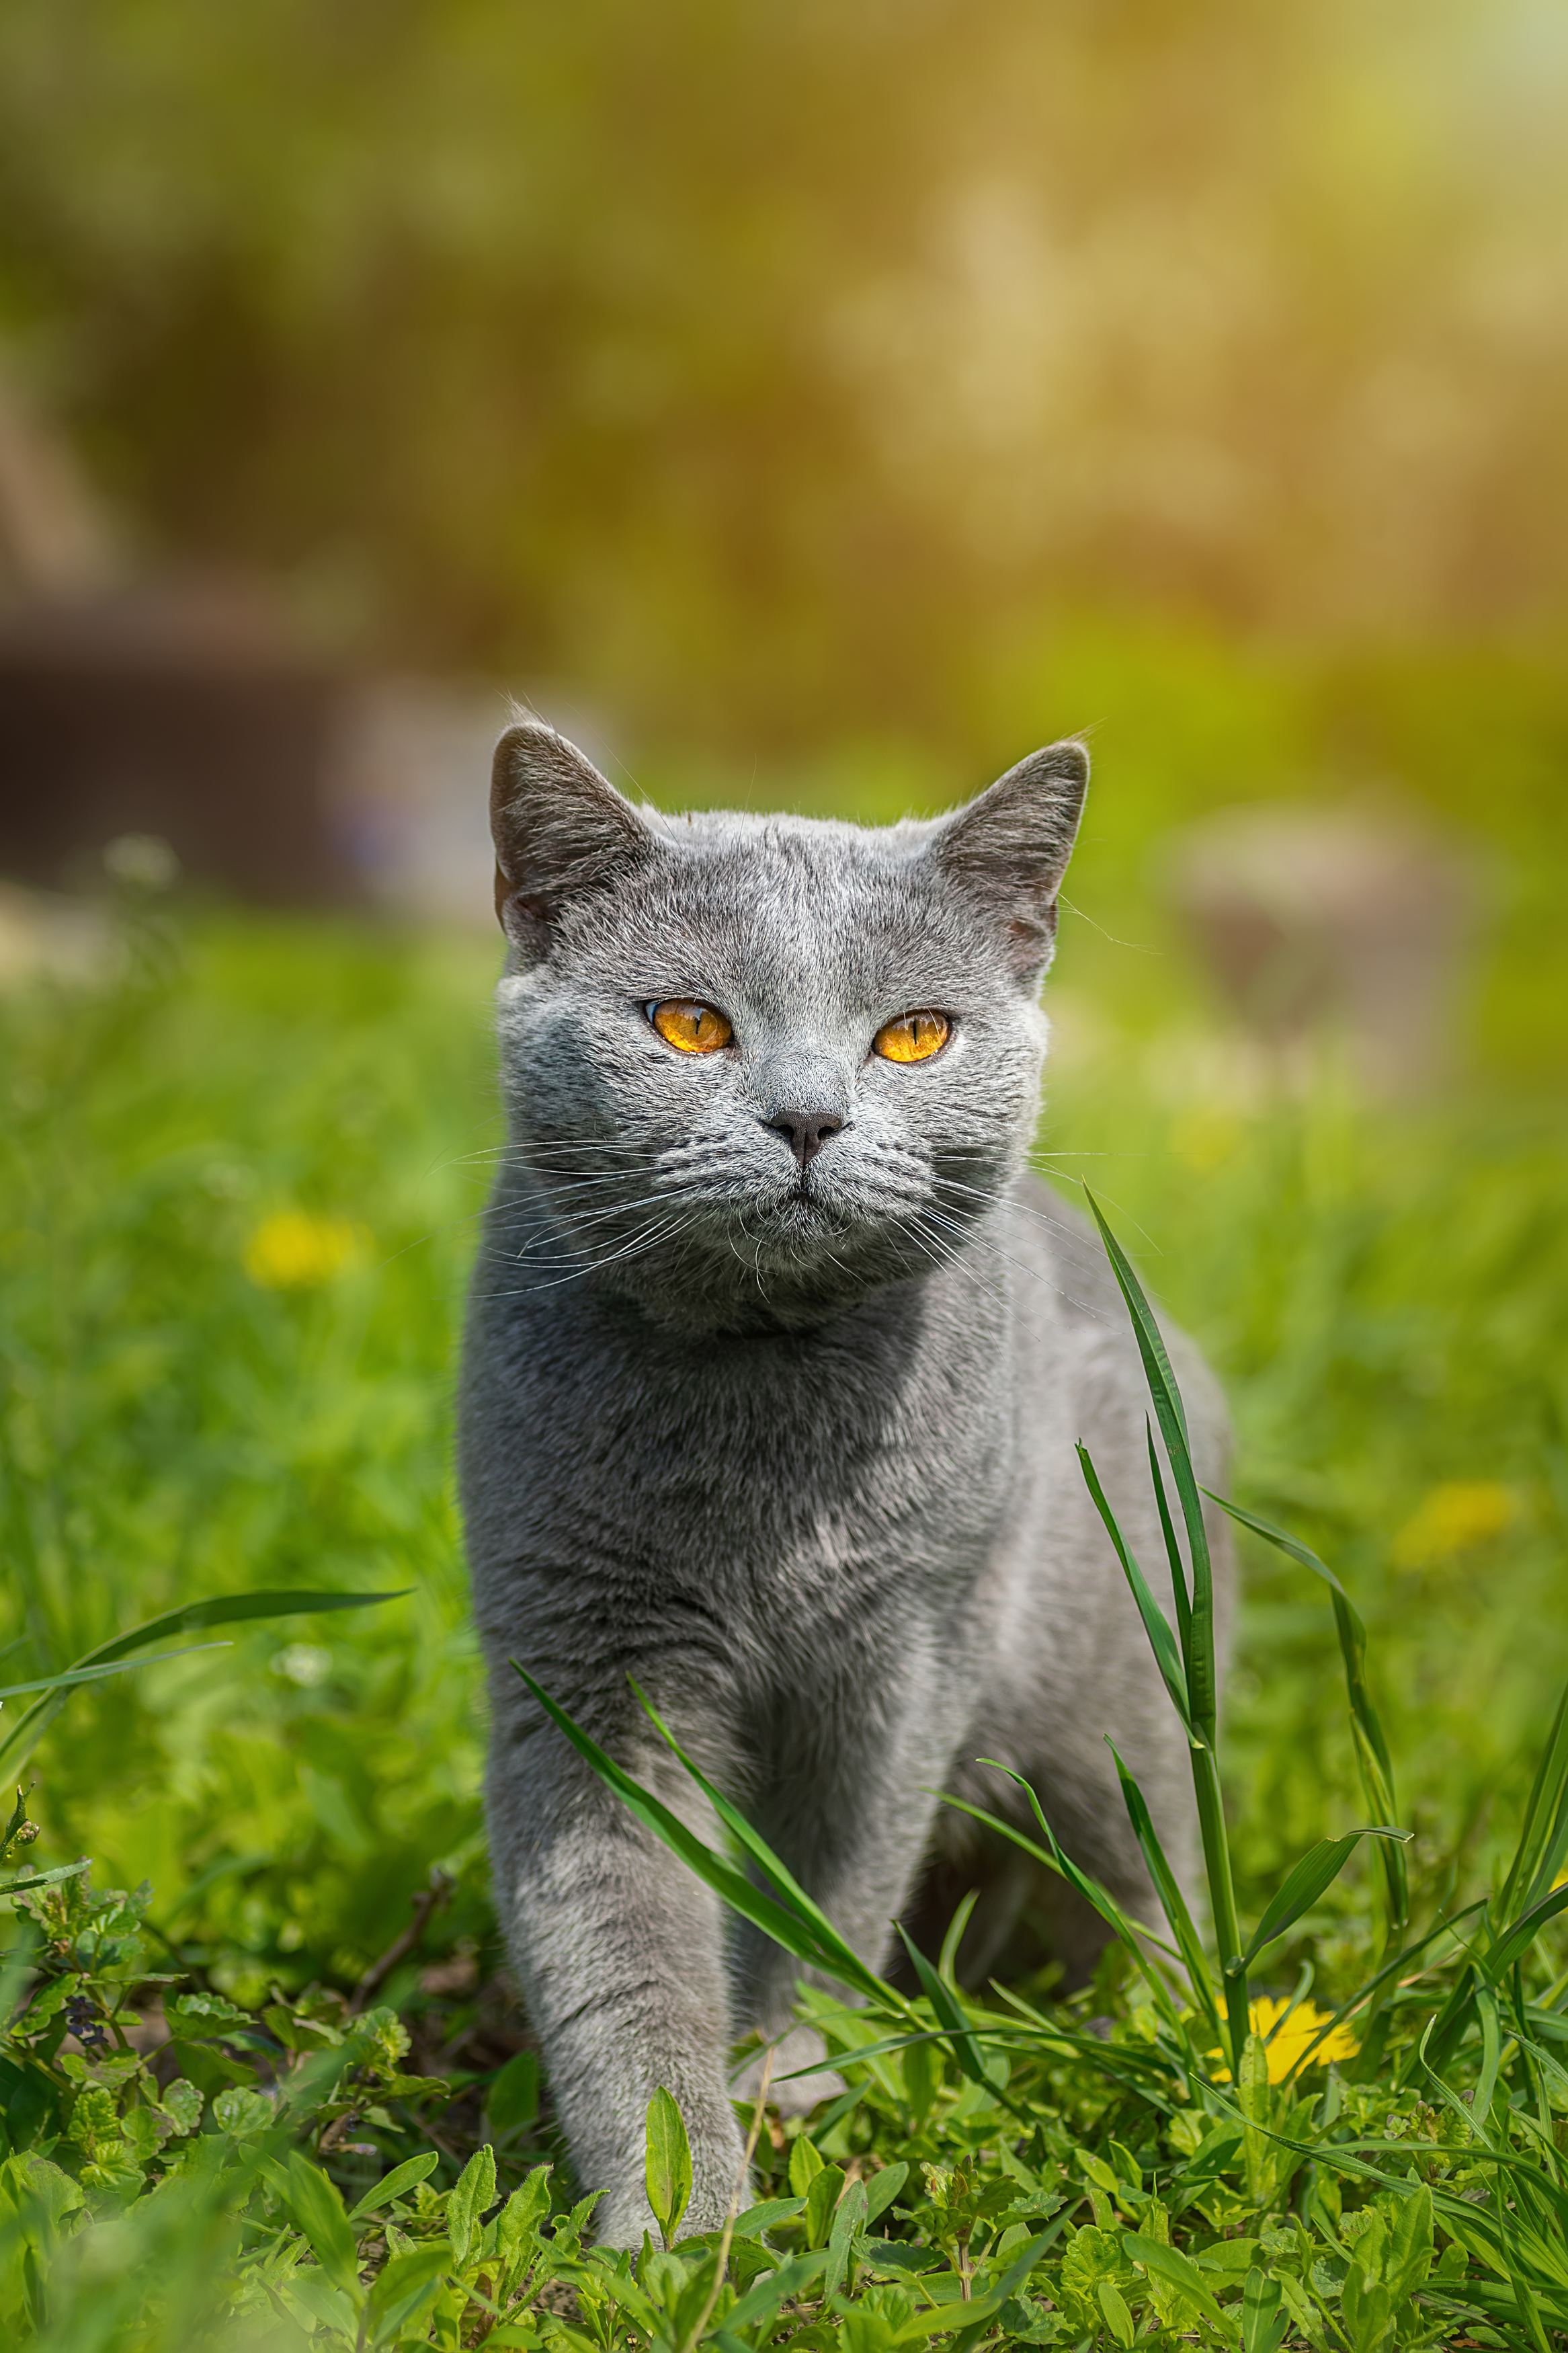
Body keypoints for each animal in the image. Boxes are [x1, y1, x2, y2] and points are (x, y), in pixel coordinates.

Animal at [460, 715, 1231, 2240]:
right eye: (688, 1024)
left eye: (913, 1034)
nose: (808, 1118)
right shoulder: (582, 1664)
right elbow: (617, 1943)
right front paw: (675, 2210)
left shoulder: (908, 1653)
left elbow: (832, 1885)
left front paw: (790, 2072)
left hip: (1127, 1696)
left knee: (1153, 1875)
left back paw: (1168, 2046)